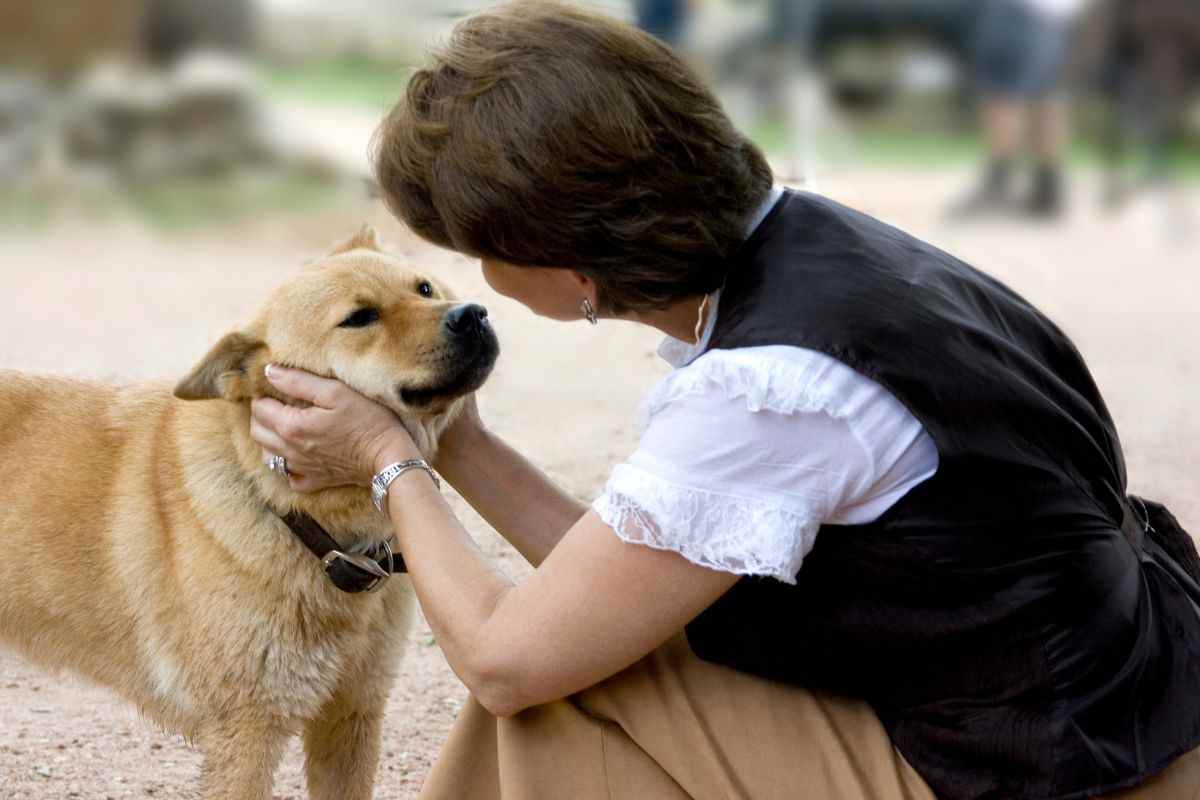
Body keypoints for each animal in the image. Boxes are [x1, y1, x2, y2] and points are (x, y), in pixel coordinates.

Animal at [0, 225, 499, 800]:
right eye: (360, 318)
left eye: (424, 288)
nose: (472, 314)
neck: (303, 520)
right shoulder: (246, 731)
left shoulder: (350, 714)